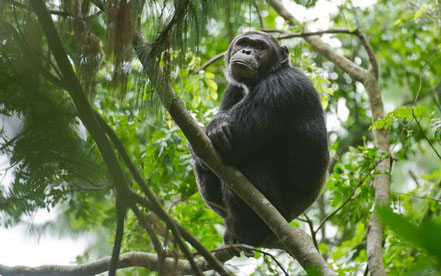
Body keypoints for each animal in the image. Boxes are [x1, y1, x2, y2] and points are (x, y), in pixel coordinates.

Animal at [189, 30, 326, 248]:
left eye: (260, 47)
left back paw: (251, 232)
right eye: (243, 43)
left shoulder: (281, 86)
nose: (247, 51)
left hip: (279, 211)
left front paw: (216, 127)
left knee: (247, 166)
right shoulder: (233, 89)